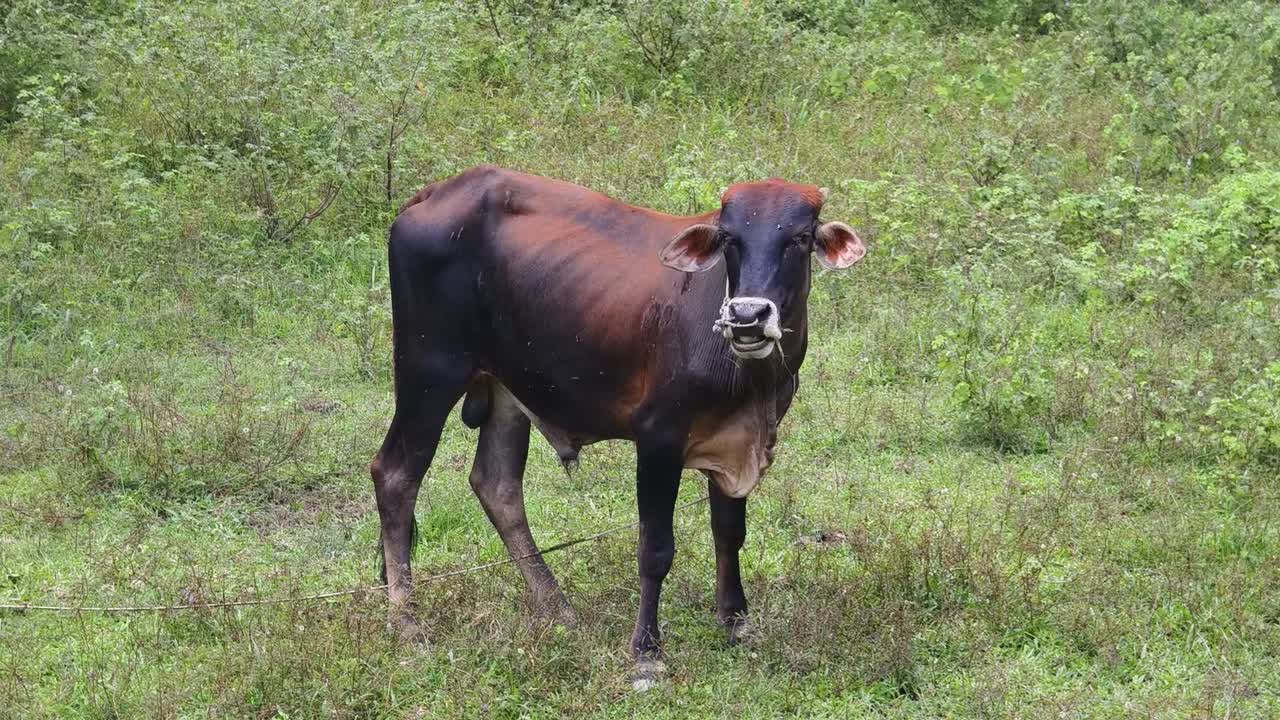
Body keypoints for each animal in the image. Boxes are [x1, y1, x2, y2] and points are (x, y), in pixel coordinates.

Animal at [370, 165, 865, 681]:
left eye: (801, 237)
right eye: (730, 237)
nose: (747, 315)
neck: (752, 379)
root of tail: (433, 193)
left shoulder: (736, 442)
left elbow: (730, 533)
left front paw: (736, 622)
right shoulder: (658, 439)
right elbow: (655, 549)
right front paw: (646, 650)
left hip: (507, 390)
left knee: (497, 484)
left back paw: (556, 606)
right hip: (428, 372)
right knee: (396, 475)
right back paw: (406, 620)